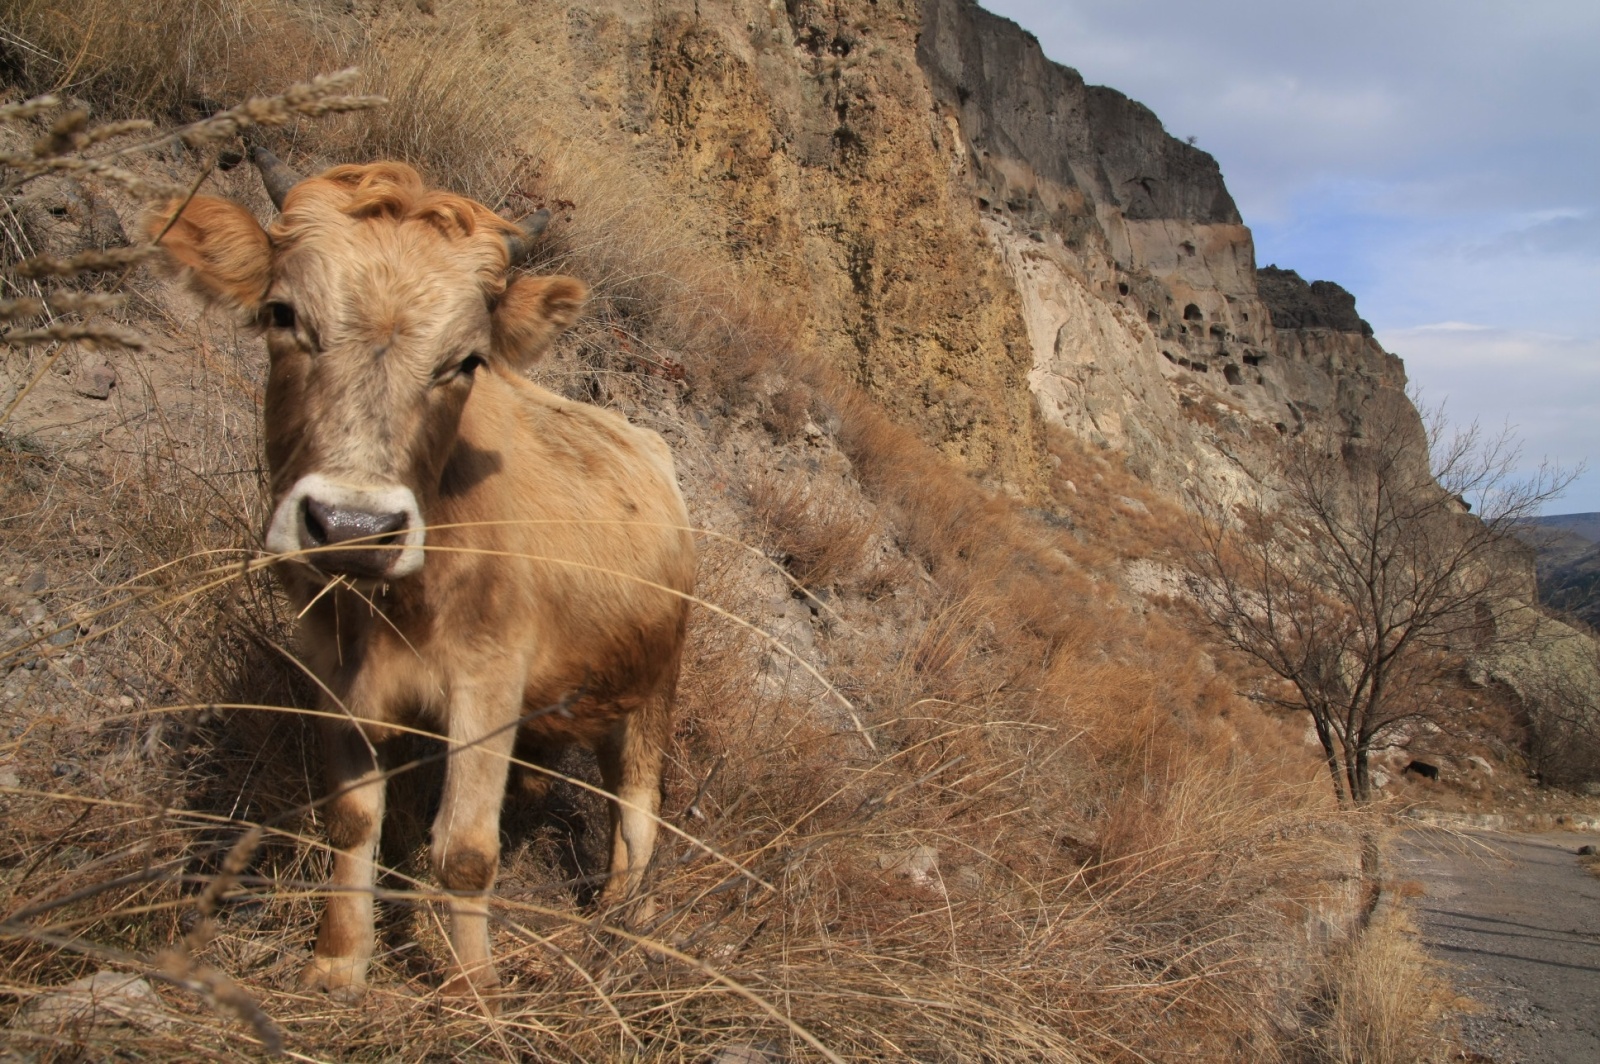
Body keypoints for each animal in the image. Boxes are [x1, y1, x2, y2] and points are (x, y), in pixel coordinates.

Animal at [150, 153, 694, 998]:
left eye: (466, 361)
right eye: (281, 314)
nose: (352, 524)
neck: (396, 605)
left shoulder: (488, 682)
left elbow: (465, 855)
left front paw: (475, 996)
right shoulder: (334, 667)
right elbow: (352, 819)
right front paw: (338, 961)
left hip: (653, 683)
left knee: (637, 813)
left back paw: (620, 924)